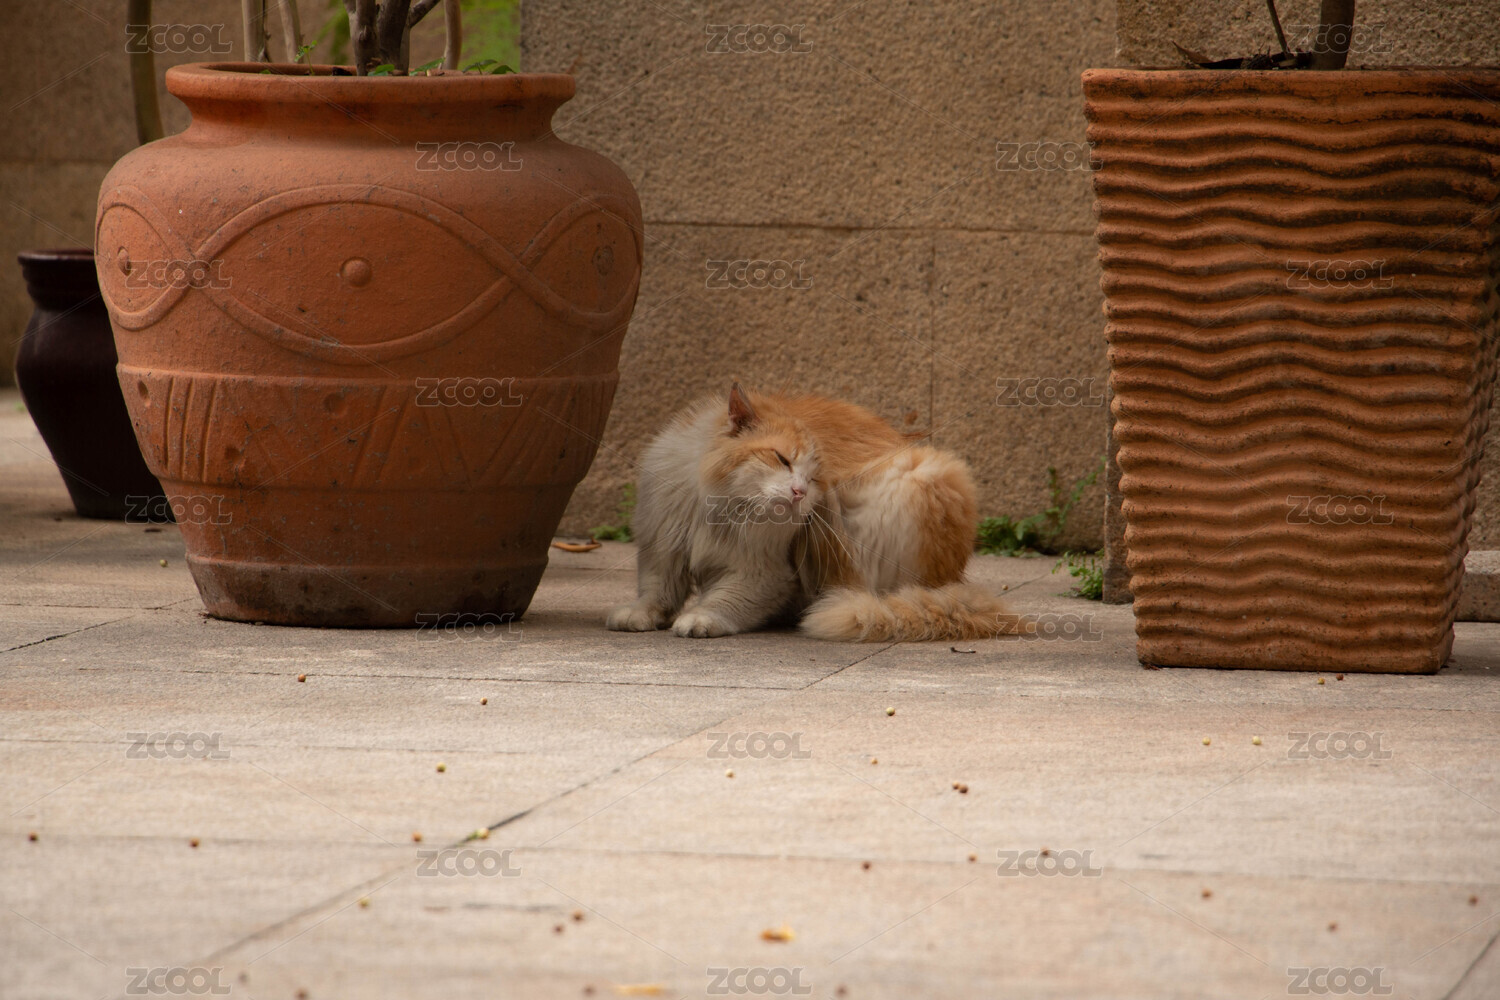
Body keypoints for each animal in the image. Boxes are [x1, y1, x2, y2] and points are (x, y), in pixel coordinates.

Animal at [605, 383, 1025, 641]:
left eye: (813, 478)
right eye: (781, 459)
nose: (800, 493)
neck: (720, 507)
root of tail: (952, 582)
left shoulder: (764, 573)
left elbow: (725, 599)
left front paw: (702, 618)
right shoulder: (663, 545)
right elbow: (657, 589)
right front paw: (640, 614)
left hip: (921, 476)